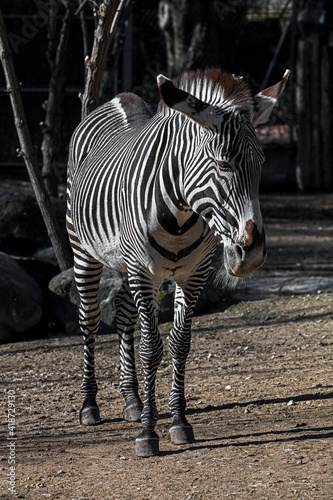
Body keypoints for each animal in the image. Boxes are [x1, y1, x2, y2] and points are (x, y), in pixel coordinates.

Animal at [65, 67, 288, 458]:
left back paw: (133, 400)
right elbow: (152, 348)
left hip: (125, 266)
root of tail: (118, 98)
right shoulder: (143, 271)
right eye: (223, 163)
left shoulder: (193, 274)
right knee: (89, 320)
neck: (181, 214)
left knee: (123, 317)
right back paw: (90, 405)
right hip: (84, 252)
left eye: (261, 163)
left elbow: (179, 344)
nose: (252, 253)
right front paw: (148, 433)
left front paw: (178, 422)